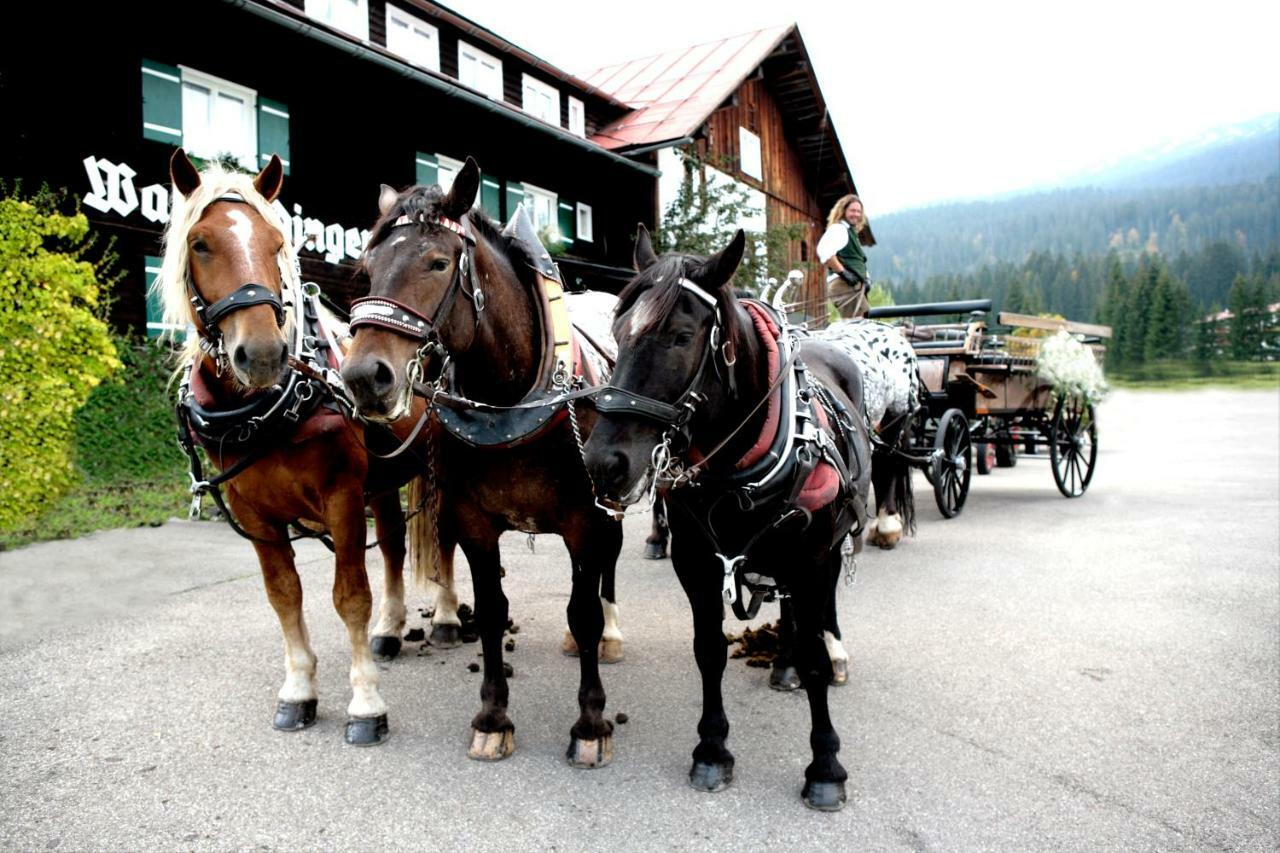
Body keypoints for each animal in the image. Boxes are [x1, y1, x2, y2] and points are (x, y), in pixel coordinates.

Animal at [340, 157, 619, 763]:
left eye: (439, 262)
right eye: (367, 269)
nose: (364, 377)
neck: (512, 402)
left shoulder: (585, 520)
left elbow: (584, 611)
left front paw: (590, 722)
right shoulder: (473, 520)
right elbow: (491, 611)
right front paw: (493, 717)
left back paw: (611, 633)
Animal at [586, 227, 875, 809]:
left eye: (679, 336)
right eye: (618, 332)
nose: (603, 462)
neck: (740, 465)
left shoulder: (812, 558)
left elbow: (814, 654)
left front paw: (826, 766)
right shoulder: (695, 561)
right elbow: (709, 651)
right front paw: (712, 750)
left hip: (826, 548)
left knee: (821, 611)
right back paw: (783, 662)